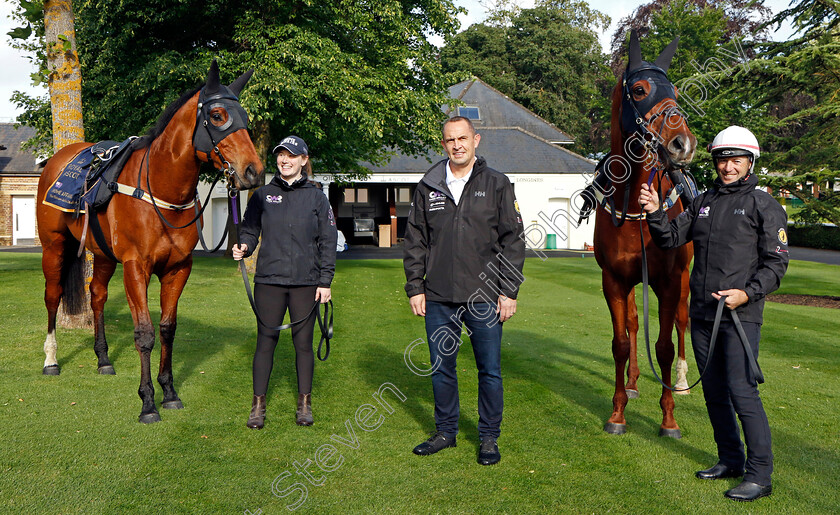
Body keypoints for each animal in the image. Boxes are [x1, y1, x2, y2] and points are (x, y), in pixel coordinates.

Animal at [37, 61, 262, 424]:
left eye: (245, 117)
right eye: (217, 115)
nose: (254, 171)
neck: (159, 189)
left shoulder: (178, 269)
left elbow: (168, 328)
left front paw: (169, 392)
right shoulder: (135, 267)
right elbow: (144, 333)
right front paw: (147, 402)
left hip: (103, 255)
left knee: (97, 295)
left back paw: (103, 359)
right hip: (54, 247)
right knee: (53, 297)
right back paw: (51, 360)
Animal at [592, 30, 700, 438]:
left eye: (675, 91)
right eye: (639, 90)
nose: (683, 143)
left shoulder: (669, 281)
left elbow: (665, 347)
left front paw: (668, 419)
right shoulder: (614, 280)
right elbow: (621, 342)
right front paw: (618, 411)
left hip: (683, 281)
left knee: (683, 324)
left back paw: (682, 382)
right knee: (636, 324)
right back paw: (634, 382)